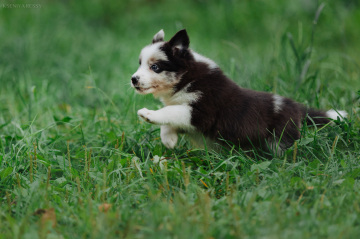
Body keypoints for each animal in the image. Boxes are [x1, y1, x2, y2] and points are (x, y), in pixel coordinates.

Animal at [131, 29, 348, 153]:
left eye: (155, 67)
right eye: (140, 64)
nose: (133, 79)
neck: (188, 77)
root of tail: (295, 106)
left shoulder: (203, 113)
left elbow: (169, 111)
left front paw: (148, 114)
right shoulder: (190, 118)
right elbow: (171, 116)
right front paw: (169, 139)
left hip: (280, 139)